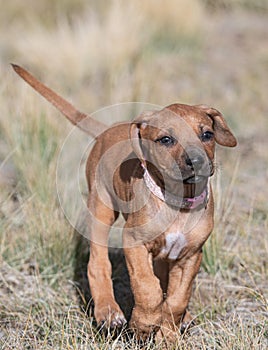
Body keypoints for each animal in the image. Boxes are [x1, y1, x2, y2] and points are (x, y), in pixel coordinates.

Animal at [12, 65, 237, 342]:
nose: (197, 161)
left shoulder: (190, 256)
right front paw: (143, 324)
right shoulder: (134, 242)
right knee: (98, 263)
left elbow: (177, 299)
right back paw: (108, 313)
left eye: (207, 134)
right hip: (101, 210)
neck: (177, 203)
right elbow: (147, 286)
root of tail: (106, 130)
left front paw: (168, 335)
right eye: (166, 140)